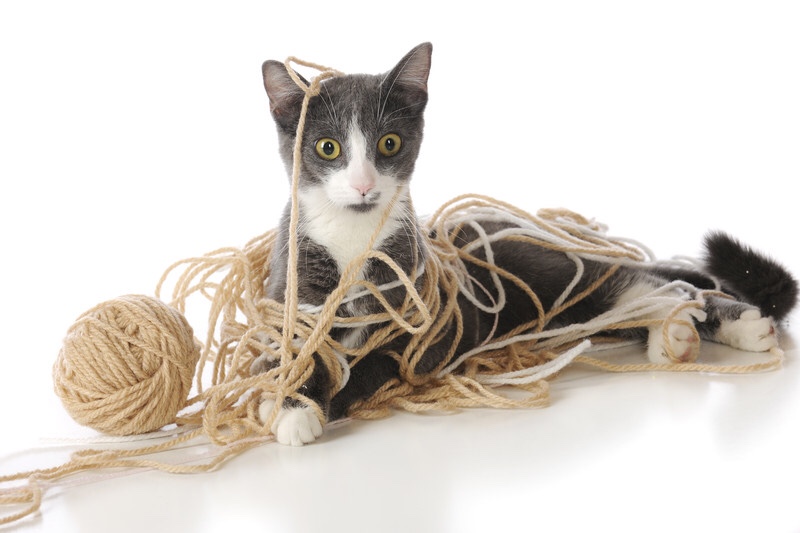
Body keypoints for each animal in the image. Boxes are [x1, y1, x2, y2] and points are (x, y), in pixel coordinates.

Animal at [253, 42, 796, 444]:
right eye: (328, 148)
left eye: (389, 143)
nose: (364, 185)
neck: (353, 242)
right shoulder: (288, 300)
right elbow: (286, 355)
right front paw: (288, 400)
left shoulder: (424, 337)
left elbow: (369, 367)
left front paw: (306, 408)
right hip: (570, 309)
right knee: (640, 295)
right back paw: (674, 335)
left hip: (550, 272)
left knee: (656, 283)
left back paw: (734, 325)